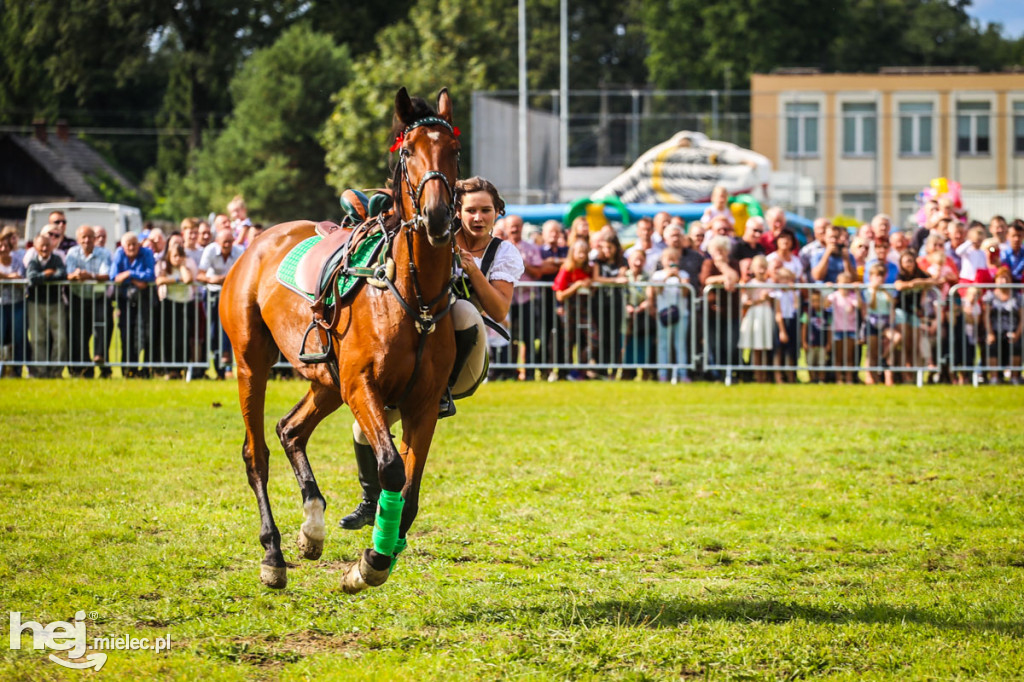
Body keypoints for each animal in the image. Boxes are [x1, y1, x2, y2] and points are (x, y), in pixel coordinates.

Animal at [225, 87, 464, 589]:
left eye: (453, 151)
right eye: (409, 152)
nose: (436, 216)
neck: (414, 297)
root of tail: (259, 240)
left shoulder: (423, 402)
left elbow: (411, 490)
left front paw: (376, 557)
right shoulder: (361, 386)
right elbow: (391, 468)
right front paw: (371, 563)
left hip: (326, 380)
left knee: (290, 429)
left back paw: (312, 527)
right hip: (252, 363)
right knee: (256, 452)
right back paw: (273, 553)